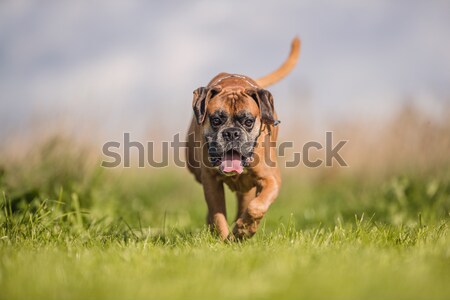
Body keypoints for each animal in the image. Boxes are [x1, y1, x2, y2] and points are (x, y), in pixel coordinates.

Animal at [185, 36, 300, 240]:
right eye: (216, 120)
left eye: (248, 121)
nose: (231, 133)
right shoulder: (210, 182)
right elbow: (218, 215)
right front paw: (224, 237)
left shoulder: (271, 180)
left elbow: (256, 207)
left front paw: (244, 230)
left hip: (248, 188)